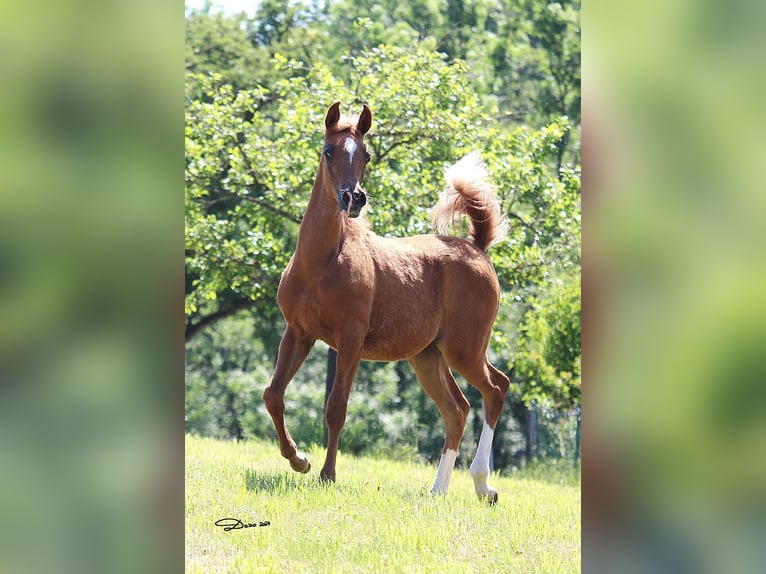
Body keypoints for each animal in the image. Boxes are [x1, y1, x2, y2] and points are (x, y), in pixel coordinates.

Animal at [264, 102, 510, 504]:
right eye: (328, 151)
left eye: (365, 154)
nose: (353, 198)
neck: (322, 262)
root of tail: (478, 248)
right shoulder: (298, 333)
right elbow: (274, 394)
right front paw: (298, 459)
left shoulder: (350, 340)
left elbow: (336, 407)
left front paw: (327, 474)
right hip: (428, 356)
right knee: (457, 409)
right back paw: (438, 490)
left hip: (465, 348)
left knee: (495, 389)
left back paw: (482, 484)